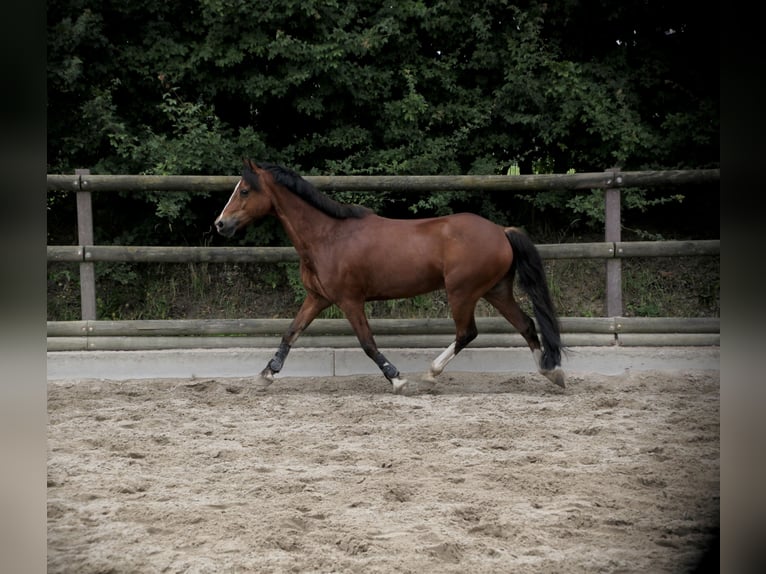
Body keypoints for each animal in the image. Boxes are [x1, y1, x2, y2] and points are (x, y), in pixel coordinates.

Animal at [213, 161, 568, 396]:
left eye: (244, 190)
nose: (220, 224)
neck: (327, 236)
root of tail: (501, 231)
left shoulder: (349, 300)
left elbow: (368, 343)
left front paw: (396, 378)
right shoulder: (318, 298)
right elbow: (291, 332)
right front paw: (266, 374)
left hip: (462, 292)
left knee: (468, 332)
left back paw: (431, 373)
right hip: (496, 290)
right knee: (526, 325)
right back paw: (551, 372)